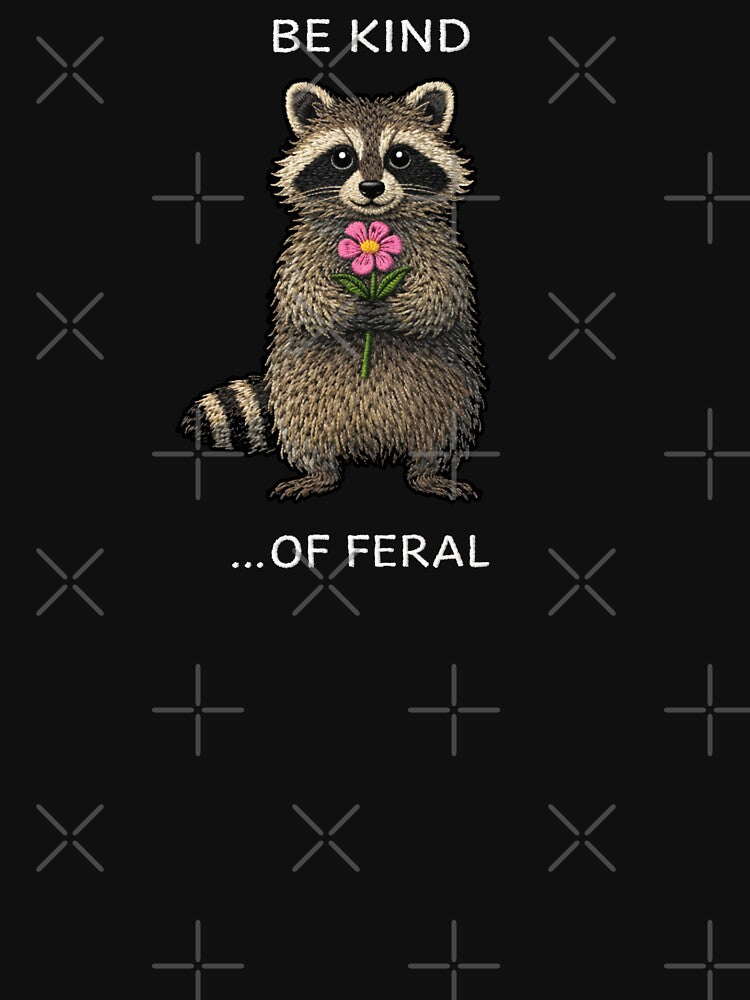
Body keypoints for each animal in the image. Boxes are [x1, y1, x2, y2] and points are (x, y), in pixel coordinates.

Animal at [180, 80, 486, 500]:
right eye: (342, 157)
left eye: (400, 157)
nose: (371, 187)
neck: (371, 221)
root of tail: (372, 445)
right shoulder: (304, 249)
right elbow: (304, 297)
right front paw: (350, 308)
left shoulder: (441, 245)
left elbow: (440, 296)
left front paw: (394, 309)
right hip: (301, 402)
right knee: (308, 437)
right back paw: (319, 472)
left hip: (449, 401)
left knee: (441, 435)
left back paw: (427, 473)